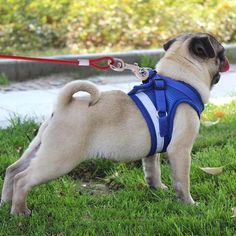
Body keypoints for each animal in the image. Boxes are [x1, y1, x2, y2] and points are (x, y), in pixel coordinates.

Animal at [0, 32, 229, 215]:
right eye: (221, 52)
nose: (226, 59)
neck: (179, 79)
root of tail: (64, 105)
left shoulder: (152, 150)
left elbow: (152, 170)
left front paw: (158, 189)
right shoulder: (180, 150)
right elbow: (182, 181)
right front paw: (189, 204)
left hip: (40, 149)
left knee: (13, 170)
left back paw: (5, 203)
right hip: (59, 158)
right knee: (23, 178)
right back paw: (19, 212)